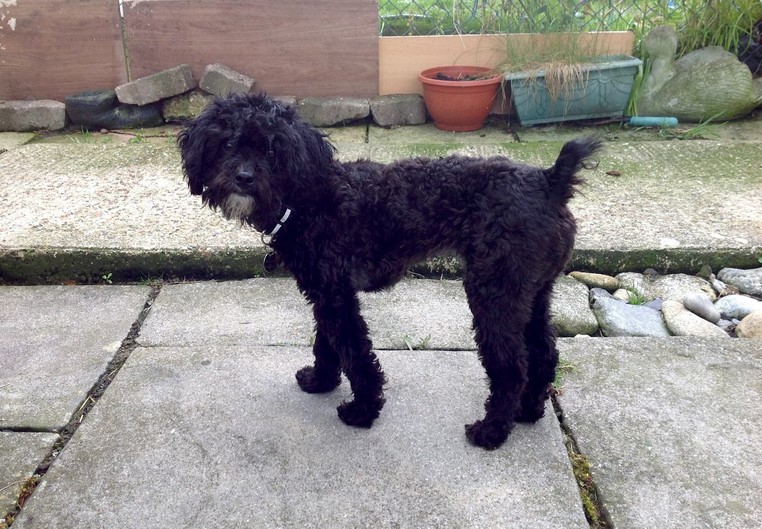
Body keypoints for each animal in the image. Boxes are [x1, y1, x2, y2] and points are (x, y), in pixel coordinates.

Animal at [178, 93, 600, 448]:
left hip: (493, 294)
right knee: (544, 353)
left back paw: (492, 431)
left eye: (271, 148)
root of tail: (549, 181)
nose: (244, 178)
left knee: (512, 367)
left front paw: (362, 410)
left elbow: (355, 351)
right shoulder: (326, 292)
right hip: (533, 292)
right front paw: (320, 380)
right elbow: (326, 342)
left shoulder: (336, 296)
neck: (308, 197)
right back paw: (528, 412)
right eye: (228, 144)